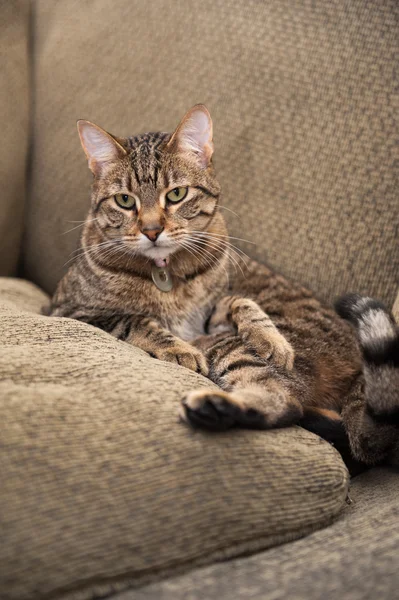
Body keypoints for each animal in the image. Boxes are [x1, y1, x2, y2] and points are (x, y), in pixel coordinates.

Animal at [48, 105, 398, 472]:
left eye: (176, 194)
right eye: (125, 201)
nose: (152, 230)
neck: (166, 274)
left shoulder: (209, 317)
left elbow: (236, 299)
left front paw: (271, 339)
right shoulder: (74, 311)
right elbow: (135, 320)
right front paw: (180, 350)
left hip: (228, 346)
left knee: (286, 402)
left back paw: (215, 406)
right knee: (290, 406)